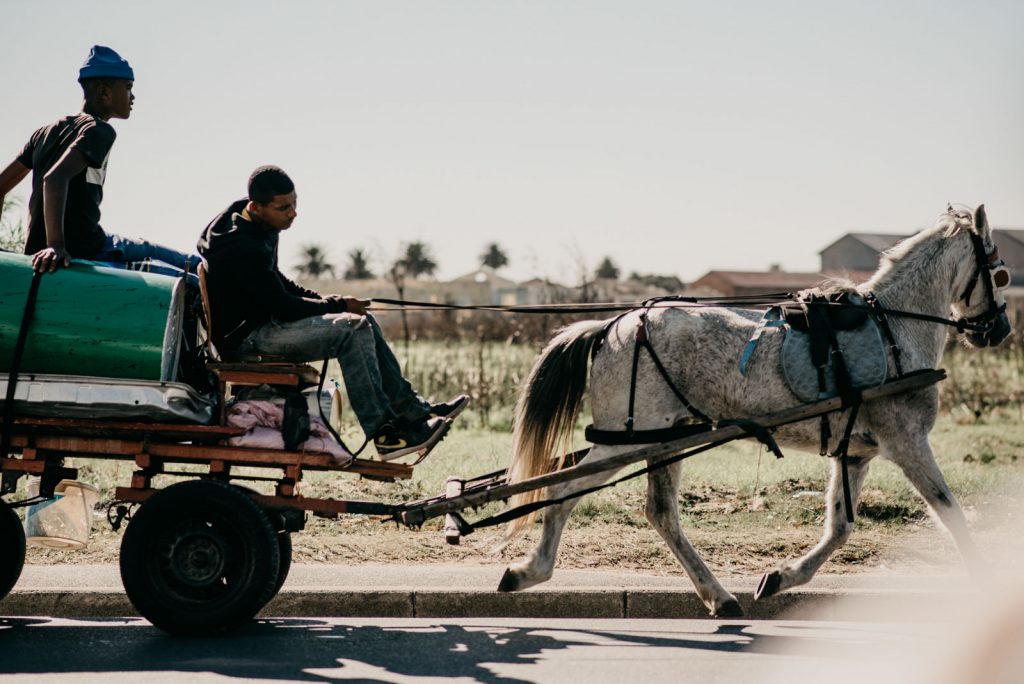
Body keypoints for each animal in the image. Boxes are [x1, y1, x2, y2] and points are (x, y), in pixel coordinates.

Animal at [499, 205, 1011, 618]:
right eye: (999, 270)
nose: (1002, 329)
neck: (893, 328)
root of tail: (615, 325)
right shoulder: (907, 442)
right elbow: (951, 513)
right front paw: (985, 583)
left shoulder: (855, 452)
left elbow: (839, 528)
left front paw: (783, 577)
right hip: (628, 439)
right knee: (564, 490)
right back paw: (531, 570)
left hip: (664, 438)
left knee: (661, 513)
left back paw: (718, 595)